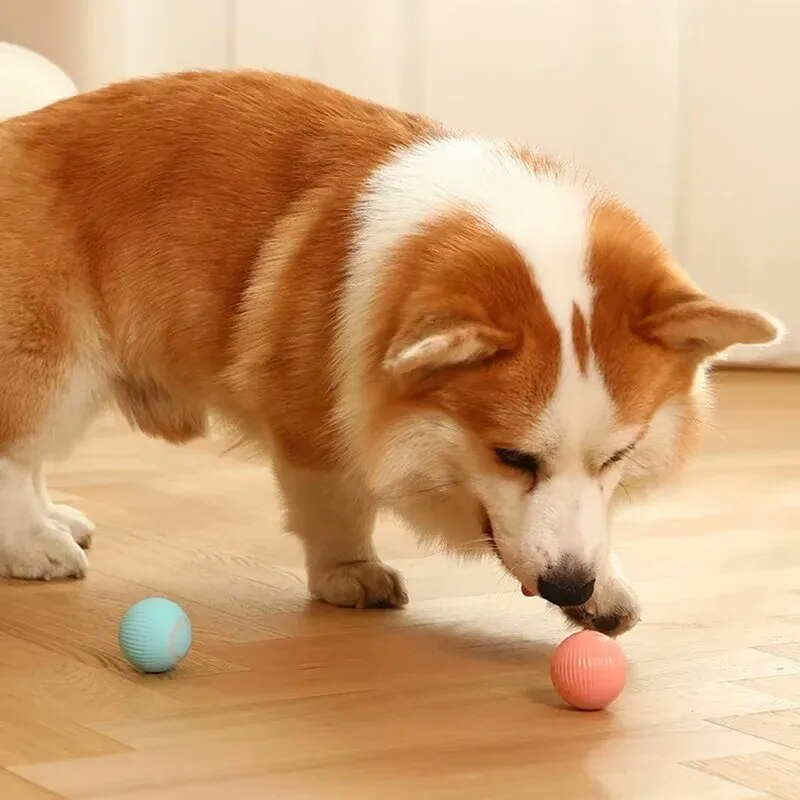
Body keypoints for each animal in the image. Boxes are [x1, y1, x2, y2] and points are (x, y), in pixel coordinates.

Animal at [0, 70, 780, 632]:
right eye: (512, 457)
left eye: (620, 456)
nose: (569, 586)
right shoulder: (312, 424)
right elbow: (338, 506)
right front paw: (350, 574)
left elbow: (580, 524)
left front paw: (604, 588)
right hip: (53, 361)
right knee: (15, 451)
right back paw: (33, 545)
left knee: (31, 459)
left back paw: (55, 521)